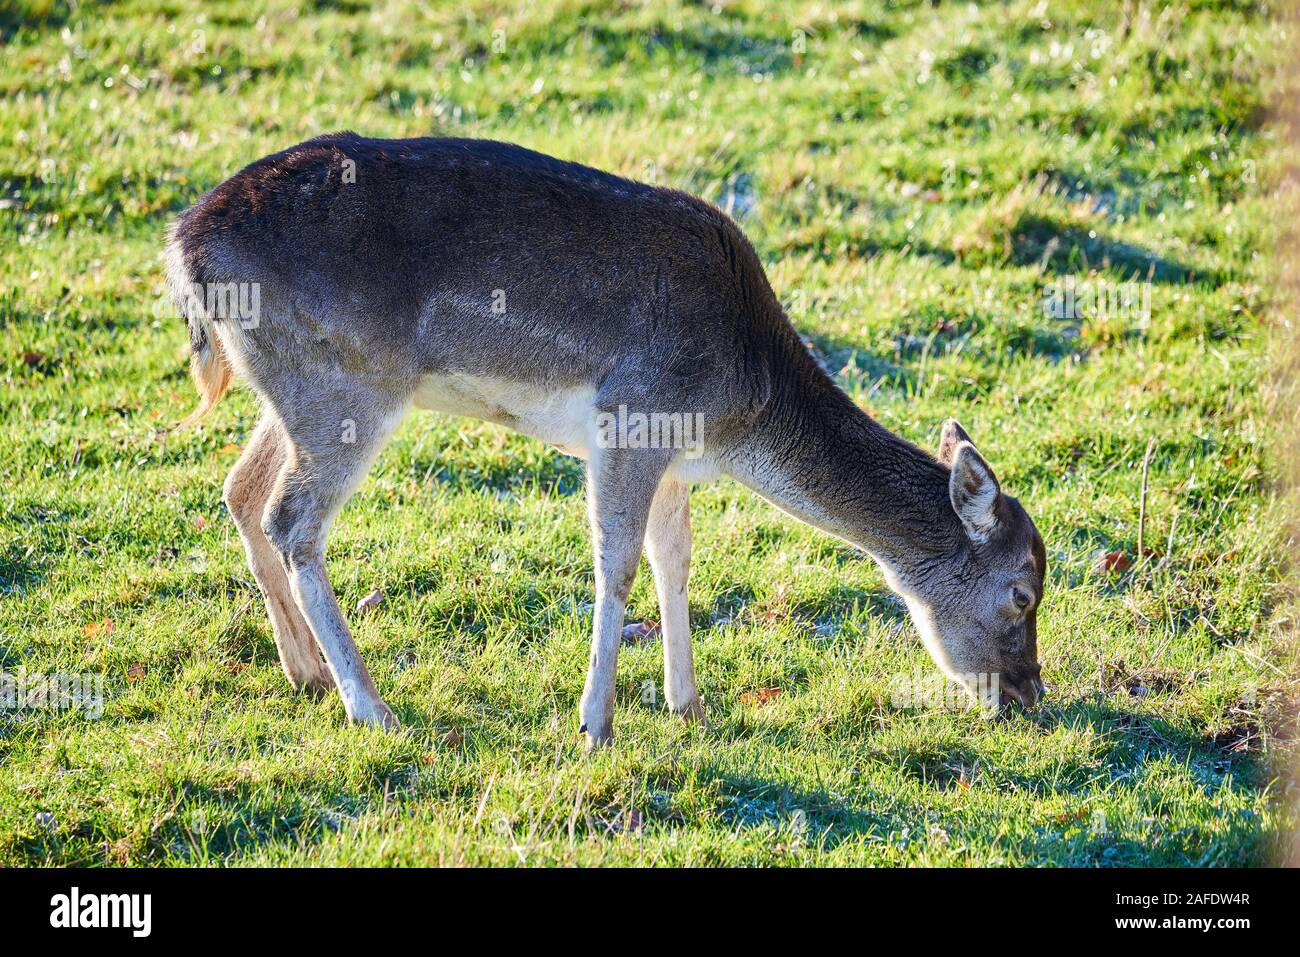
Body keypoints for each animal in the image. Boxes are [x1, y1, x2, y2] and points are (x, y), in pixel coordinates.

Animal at [167, 133, 1046, 748]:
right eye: (1023, 592)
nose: (1029, 691)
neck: (742, 410)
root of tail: (184, 248)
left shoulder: (675, 456)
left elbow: (674, 559)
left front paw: (689, 703)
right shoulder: (630, 419)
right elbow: (616, 561)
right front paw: (595, 724)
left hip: (293, 388)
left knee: (241, 489)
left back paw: (307, 673)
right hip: (348, 383)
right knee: (292, 519)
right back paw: (371, 705)